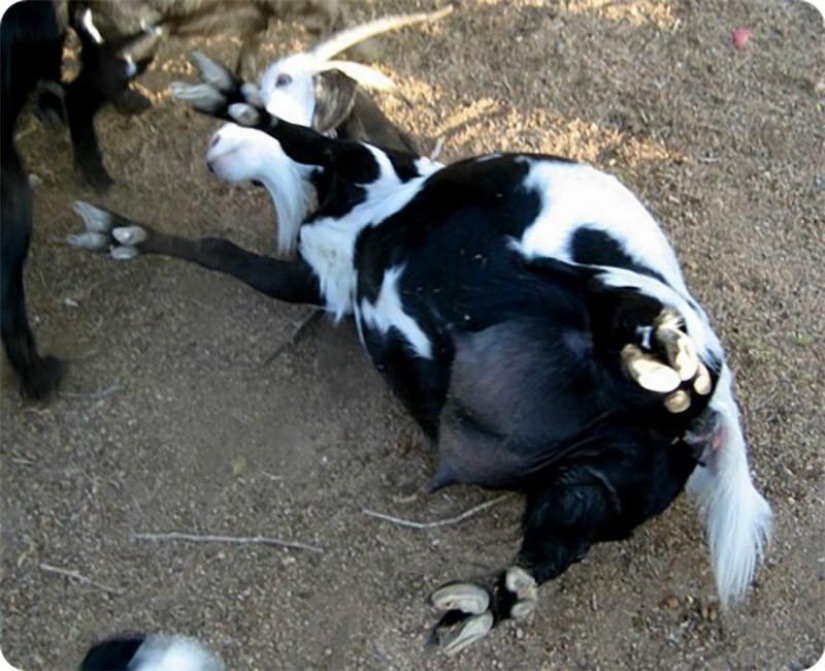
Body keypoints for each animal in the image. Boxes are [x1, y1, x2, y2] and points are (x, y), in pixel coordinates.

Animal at [69, 65, 772, 654]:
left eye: (285, 77)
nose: (212, 151)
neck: (365, 202)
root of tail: (705, 414)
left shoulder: (359, 164)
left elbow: (301, 139)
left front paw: (231, 98)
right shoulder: (317, 279)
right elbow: (225, 255)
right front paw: (118, 233)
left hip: (596, 282)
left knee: (632, 323)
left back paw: (662, 358)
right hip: (590, 483)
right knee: (548, 553)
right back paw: (489, 602)